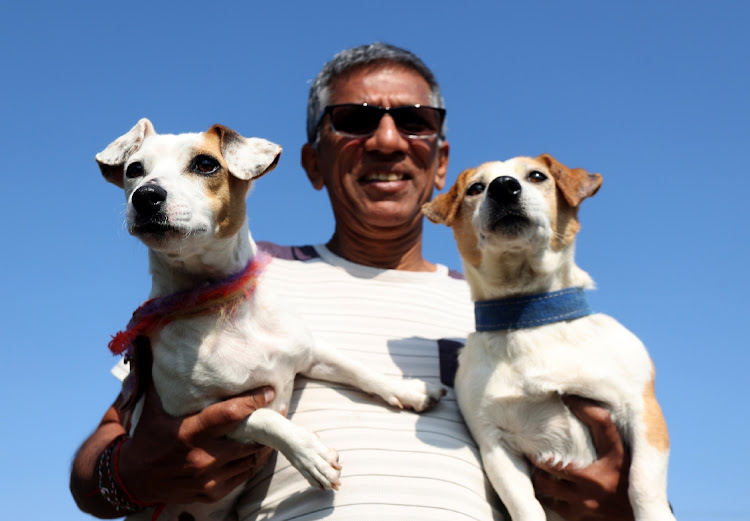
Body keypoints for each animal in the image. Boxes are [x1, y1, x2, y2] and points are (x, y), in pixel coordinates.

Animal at [96, 119, 444, 520]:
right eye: (133, 169)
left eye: (205, 164)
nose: (146, 196)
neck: (223, 308)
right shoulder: (195, 420)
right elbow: (265, 418)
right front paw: (310, 454)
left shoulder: (310, 353)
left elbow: (359, 370)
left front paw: (409, 391)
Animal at [424, 154, 676, 520]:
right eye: (475, 188)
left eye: (537, 176)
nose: (503, 186)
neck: (530, 314)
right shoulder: (494, 443)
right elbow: (524, 505)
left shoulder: (643, 412)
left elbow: (642, 484)